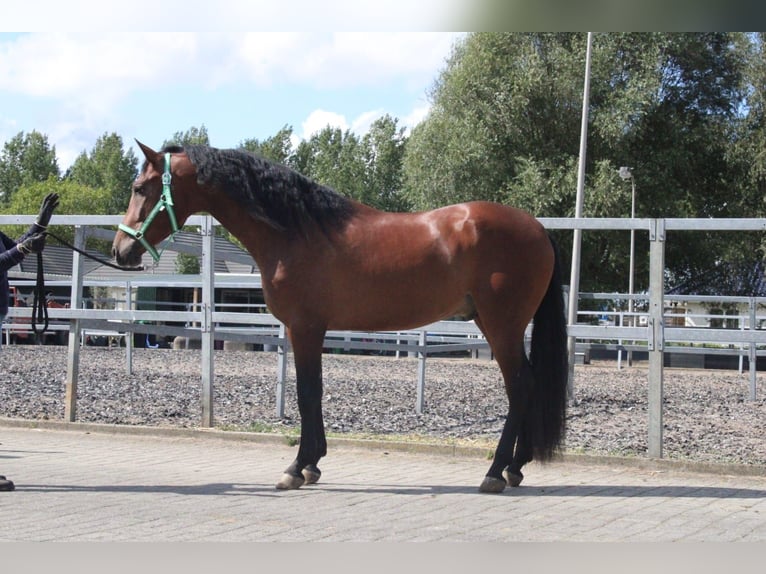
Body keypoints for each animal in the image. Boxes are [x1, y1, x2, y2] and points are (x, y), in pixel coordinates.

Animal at [114, 143, 568, 496]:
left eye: (140, 188)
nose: (121, 250)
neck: (296, 233)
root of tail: (537, 228)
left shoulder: (305, 328)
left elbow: (307, 394)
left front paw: (296, 469)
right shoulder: (308, 330)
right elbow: (313, 393)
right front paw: (312, 465)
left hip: (501, 325)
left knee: (519, 386)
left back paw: (494, 473)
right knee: (527, 385)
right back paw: (514, 468)